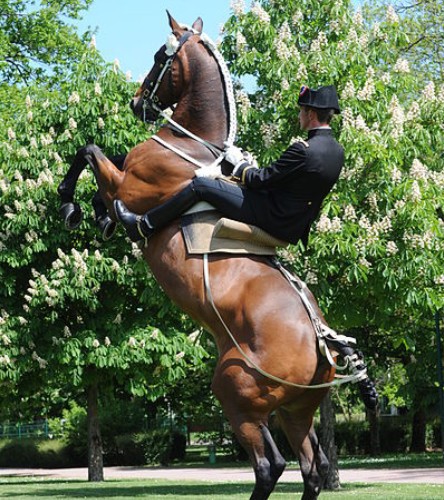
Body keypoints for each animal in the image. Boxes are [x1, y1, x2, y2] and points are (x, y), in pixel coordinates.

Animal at [58, 13, 336, 498]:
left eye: (158, 57)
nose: (137, 103)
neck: (194, 148)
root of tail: (321, 341)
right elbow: (106, 155)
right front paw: (97, 214)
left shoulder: (125, 184)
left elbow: (90, 151)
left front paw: (74, 203)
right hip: (294, 411)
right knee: (312, 466)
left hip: (236, 393)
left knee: (270, 464)